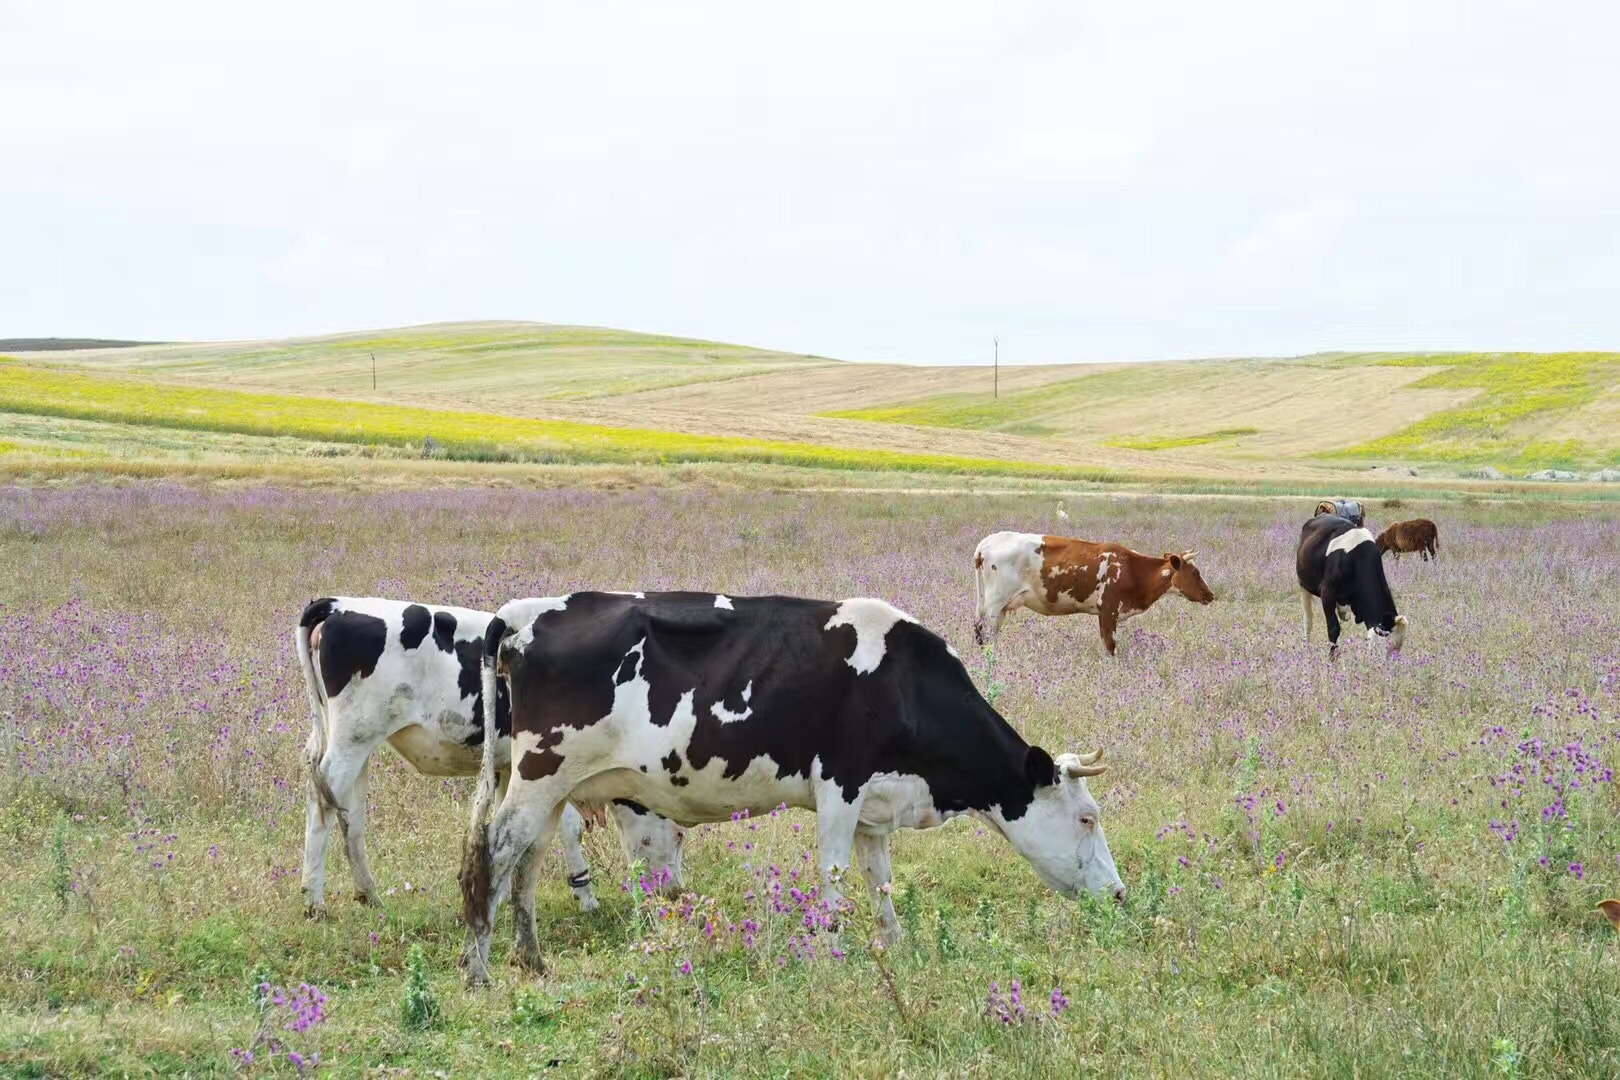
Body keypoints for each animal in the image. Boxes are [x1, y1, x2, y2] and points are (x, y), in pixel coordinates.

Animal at [291, 599, 683, 919]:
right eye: (680, 835)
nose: (676, 892)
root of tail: (338, 605)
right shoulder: (554, 764)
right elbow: (567, 830)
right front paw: (586, 897)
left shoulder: (511, 765)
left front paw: (500, 893)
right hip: (352, 740)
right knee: (321, 802)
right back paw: (313, 901)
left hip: (357, 744)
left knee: (350, 815)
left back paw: (368, 894)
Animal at [460, 592, 1127, 990]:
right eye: (1088, 818)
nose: (1120, 893)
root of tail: (522, 616)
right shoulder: (838, 785)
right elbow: (833, 880)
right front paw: (835, 956)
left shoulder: (874, 807)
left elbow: (880, 883)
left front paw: (892, 947)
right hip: (541, 771)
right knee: (493, 853)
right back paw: (478, 970)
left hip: (552, 787)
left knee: (527, 860)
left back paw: (530, 958)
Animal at [972, 531, 1218, 654]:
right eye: (1195, 572)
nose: (1211, 595)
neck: (1133, 570)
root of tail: (986, 542)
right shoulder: (1108, 610)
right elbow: (1110, 645)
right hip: (994, 604)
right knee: (985, 634)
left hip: (997, 607)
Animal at [1289, 518, 1406, 660]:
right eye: (1386, 646)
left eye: (1398, 649)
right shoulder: (1327, 593)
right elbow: (1333, 628)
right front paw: (1332, 658)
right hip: (1303, 585)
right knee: (1308, 619)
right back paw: (1306, 646)